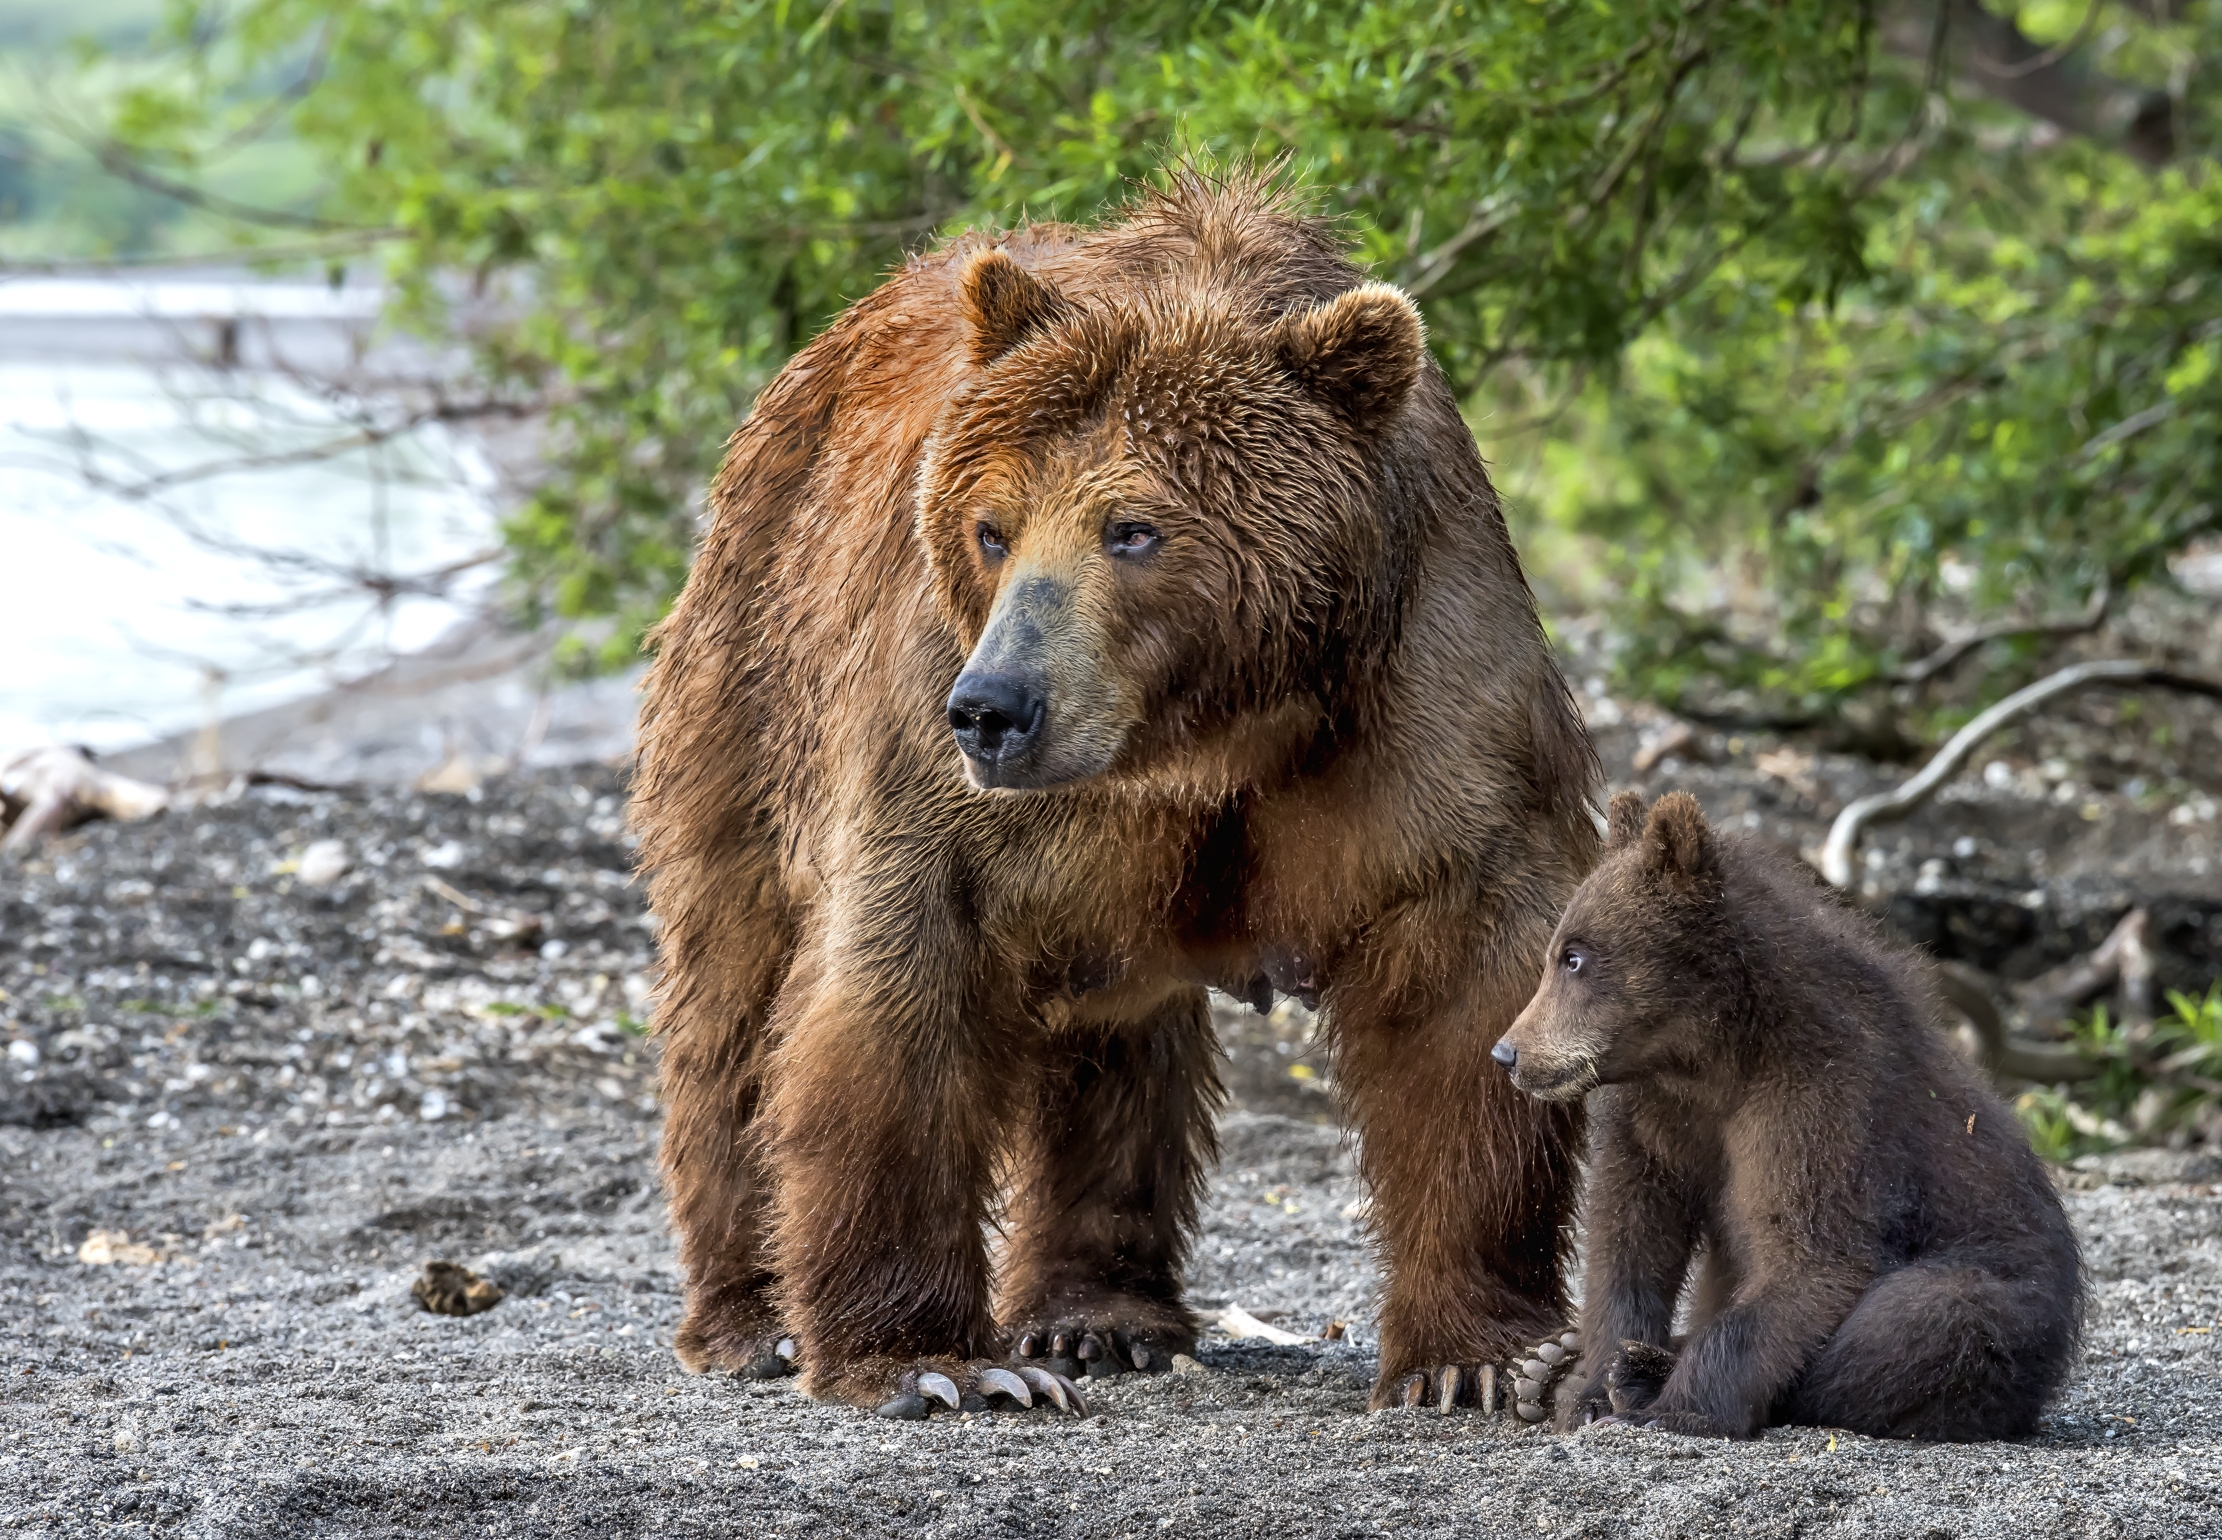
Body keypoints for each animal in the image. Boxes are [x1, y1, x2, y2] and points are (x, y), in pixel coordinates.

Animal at [630, 169, 1602, 1416]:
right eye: (991, 527)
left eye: (1132, 528)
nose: (993, 707)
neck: (1200, 733)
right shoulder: (930, 752)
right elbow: (897, 1000)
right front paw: (936, 1362)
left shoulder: (1416, 700)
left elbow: (1463, 990)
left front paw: (1477, 1356)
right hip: (752, 672)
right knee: (734, 988)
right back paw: (748, 1316)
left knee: (1114, 1035)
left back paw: (1096, 1312)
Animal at [1492, 790, 2083, 1441]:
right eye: (1557, 953)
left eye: (1573, 957)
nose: (1508, 1053)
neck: (1715, 1059)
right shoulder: (1659, 1115)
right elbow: (1630, 1234)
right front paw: (1592, 1389)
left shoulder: (1818, 1105)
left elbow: (1810, 1256)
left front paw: (1679, 1404)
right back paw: (1551, 1371)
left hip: (2013, 1294)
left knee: (1928, 1318)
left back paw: (1640, 1371)